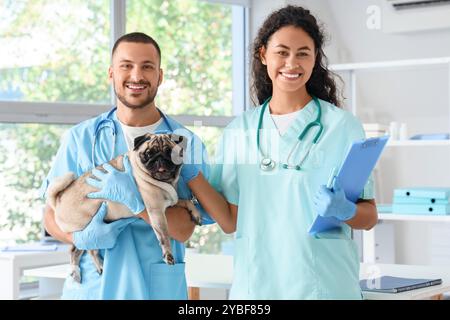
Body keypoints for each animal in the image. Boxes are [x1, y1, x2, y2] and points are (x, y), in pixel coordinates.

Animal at [46, 132, 201, 282]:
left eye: (170, 152)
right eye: (148, 154)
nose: (159, 159)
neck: (166, 182)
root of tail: (58, 200)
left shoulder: (171, 204)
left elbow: (186, 201)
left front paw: (195, 213)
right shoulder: (156, 211)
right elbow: (164, 235)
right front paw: (168, 254)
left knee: (77, 249)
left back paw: (77, 271)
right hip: (86, 226)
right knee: (88, 248)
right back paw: (97, 266)